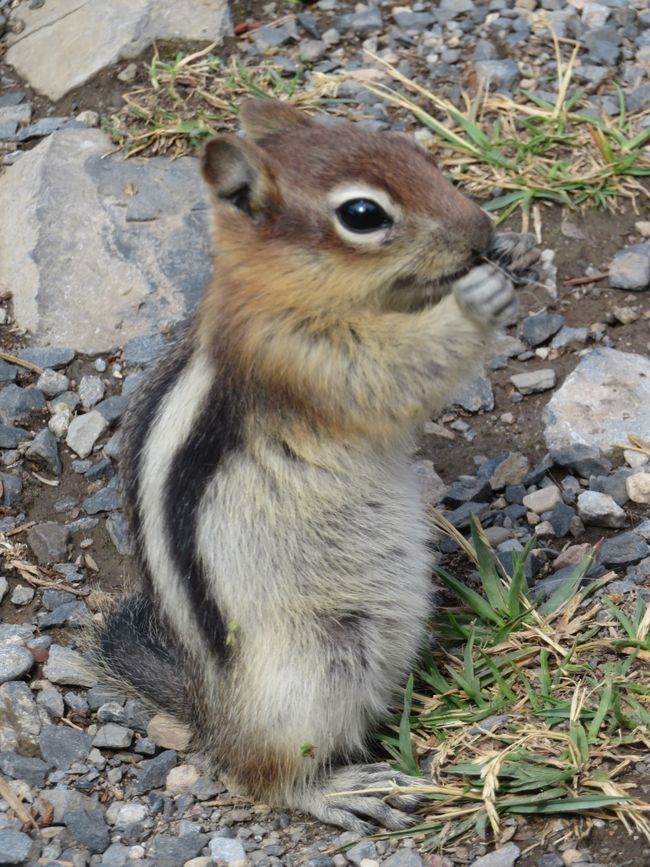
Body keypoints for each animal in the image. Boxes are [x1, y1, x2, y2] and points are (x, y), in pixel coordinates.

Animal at [97, 96, 528, 836]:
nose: (484, 231)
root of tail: (212, 714)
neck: (276, 290)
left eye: (413, 150)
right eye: (362, 214)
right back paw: (342, 789)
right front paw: (478, 297)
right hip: (317, 665)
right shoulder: (299, 356)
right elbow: (392, 373)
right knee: (261, 776)